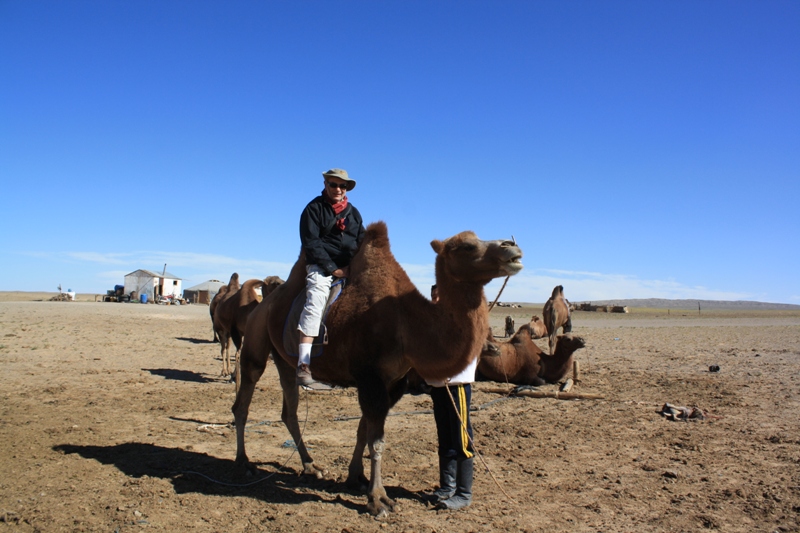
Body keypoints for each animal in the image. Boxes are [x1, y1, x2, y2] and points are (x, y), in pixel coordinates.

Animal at [230, 221, 524, 516]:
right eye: (466, 246)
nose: (512, 247)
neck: (407, 322)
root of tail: (264, 303)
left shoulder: (393, 383)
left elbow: (364, 430)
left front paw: (356, 477)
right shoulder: (370, 377)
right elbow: (377, 440)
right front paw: (378, 499)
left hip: (284, 359)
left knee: (289, 410)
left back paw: (311, 465)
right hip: (256, 337)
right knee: (243, 400)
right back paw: (244, 463)